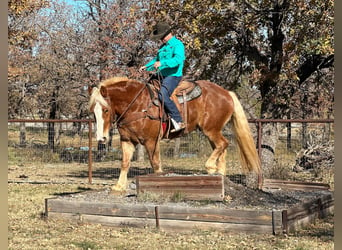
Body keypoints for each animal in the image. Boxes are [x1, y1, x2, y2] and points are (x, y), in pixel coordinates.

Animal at [89, 76, 262, 191]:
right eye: (93, 112)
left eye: (105, 110)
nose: (101, 138)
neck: (137, 105)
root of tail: (226, 93)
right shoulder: (127, 140)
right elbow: (125, 163)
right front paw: (119, 186)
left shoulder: (151, 141)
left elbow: (156, 164)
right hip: (212, 131)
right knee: (221, 147)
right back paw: (219, 173)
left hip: (211, 129)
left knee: (223, 144)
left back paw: (211, 167)